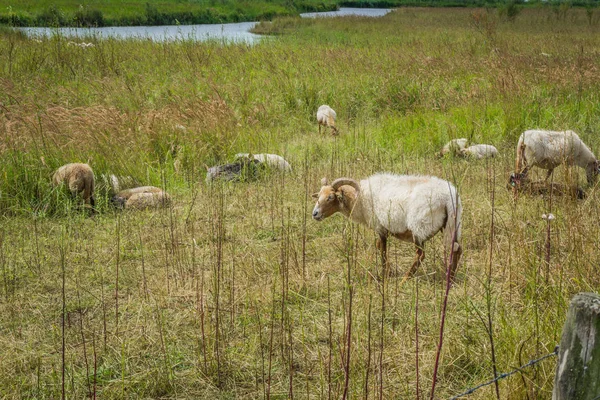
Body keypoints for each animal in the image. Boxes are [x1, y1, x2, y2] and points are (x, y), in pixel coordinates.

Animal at [312, 173, 462, 282]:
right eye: (318, 196)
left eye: (330, 197)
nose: (315, 214)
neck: (359, 199)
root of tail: (448, 198)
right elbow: (380, 247)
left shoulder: (381, 227)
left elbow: (382, 249)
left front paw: (385, 273)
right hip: (453, 225)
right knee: (456, 249)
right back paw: (450, 278)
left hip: (419, 228)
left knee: (420, 254)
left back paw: (405, 278)